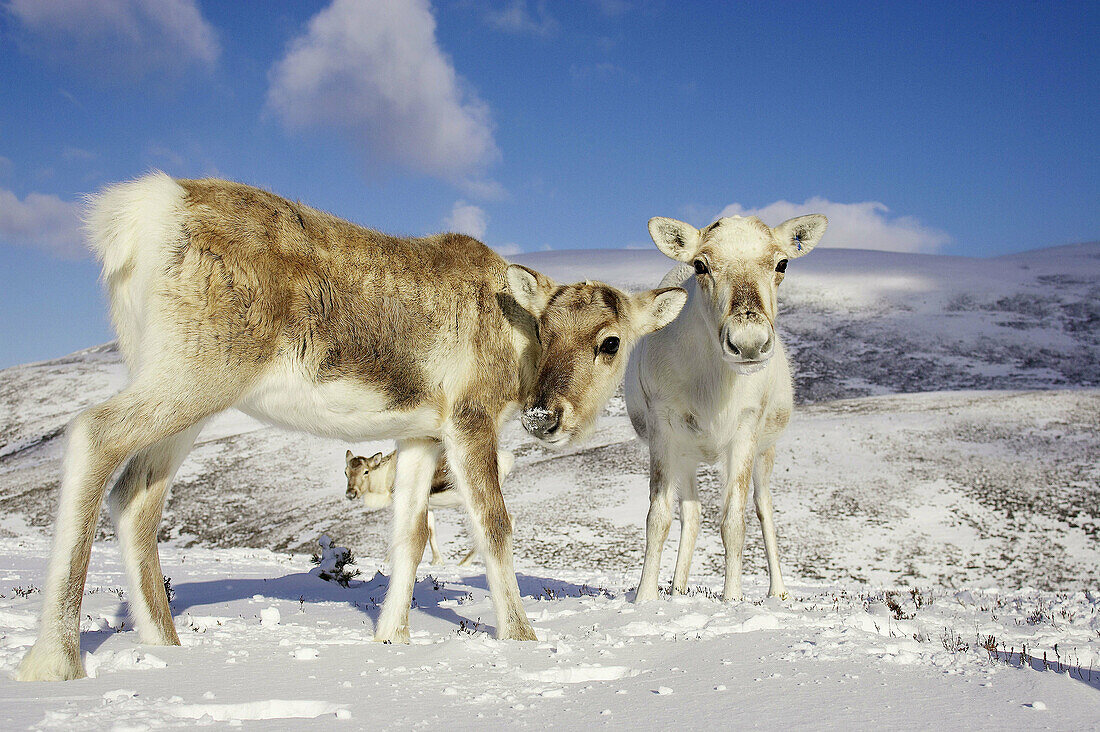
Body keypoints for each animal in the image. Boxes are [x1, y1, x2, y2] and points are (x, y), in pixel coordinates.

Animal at [343, 444, 514, 563]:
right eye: (346, 472)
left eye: (366, 471)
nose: (351, 493)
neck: (384, 480)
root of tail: (508, 460)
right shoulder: (429, 507)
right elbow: (431, 532)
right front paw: (437, 561)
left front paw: (386, 561)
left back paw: (464, 562)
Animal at [629, 211, 827, 598]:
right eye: (700, 265)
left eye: (782, 263)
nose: (748, 343)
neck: (712, 387)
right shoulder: (664, 428)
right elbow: (658, 517)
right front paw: (645, 599)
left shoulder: (746, 430)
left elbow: (734, 522)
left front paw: (732, 598)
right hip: (688, 456)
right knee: (691, 514)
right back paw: (677, 590)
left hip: (766, 452)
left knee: (764, 509)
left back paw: (777, 592)